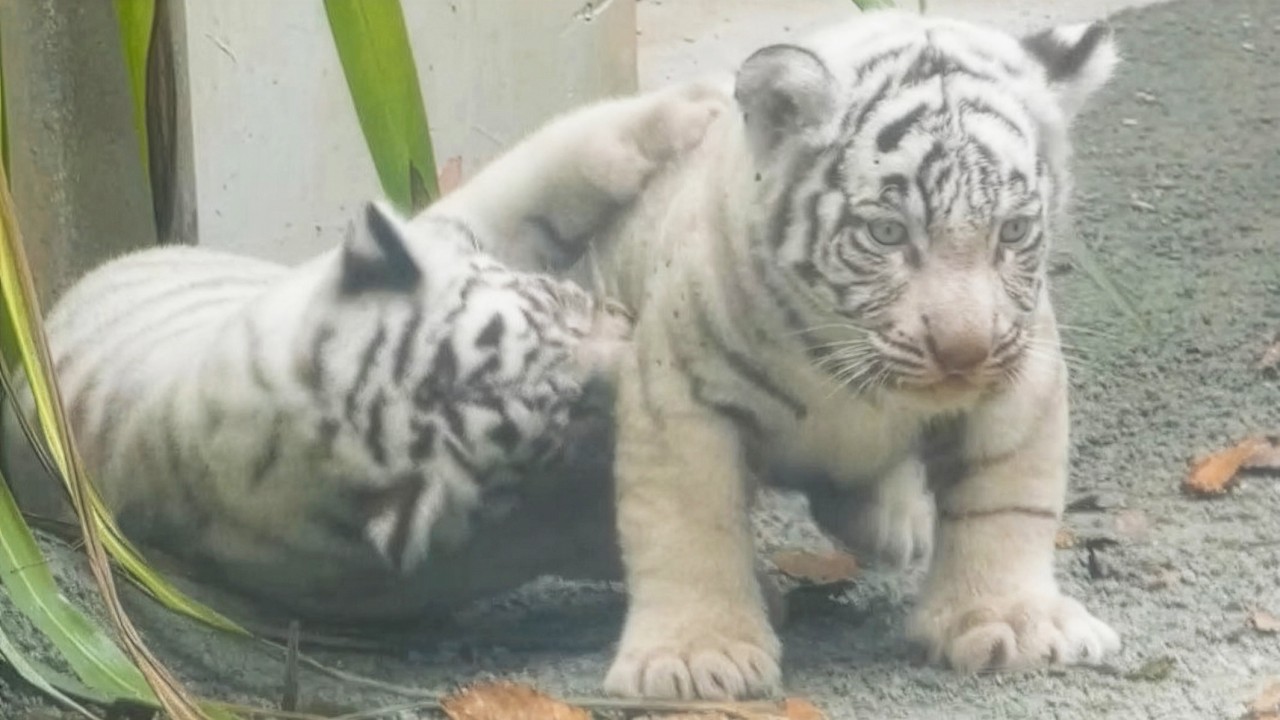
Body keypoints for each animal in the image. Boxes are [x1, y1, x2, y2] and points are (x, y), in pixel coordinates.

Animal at [0, 81, 730, 621]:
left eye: (557, 305)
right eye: (569, 417)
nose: (632, 341)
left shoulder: (456, 230)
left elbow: (552, 163)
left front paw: (695, 107)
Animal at [465, 10, 1125, 700]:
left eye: (1013, 231)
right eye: (887, 233)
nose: (963, 352)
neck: (842, 367)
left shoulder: (1022, 376)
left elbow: (1007, 503)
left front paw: (1011, 621)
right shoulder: (679, 392)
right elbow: (687, 522)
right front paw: (695, 657)